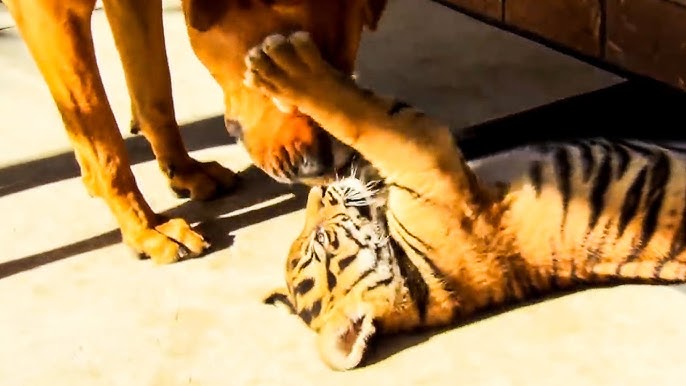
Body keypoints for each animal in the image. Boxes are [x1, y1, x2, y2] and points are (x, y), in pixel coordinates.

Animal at [5, 0, 390, 262]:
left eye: (340, 74)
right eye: (273, 71)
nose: (329, 166)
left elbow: (156, 93)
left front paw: (183, 170)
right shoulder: (53, 12)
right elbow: (105, 145)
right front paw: (145, 228)